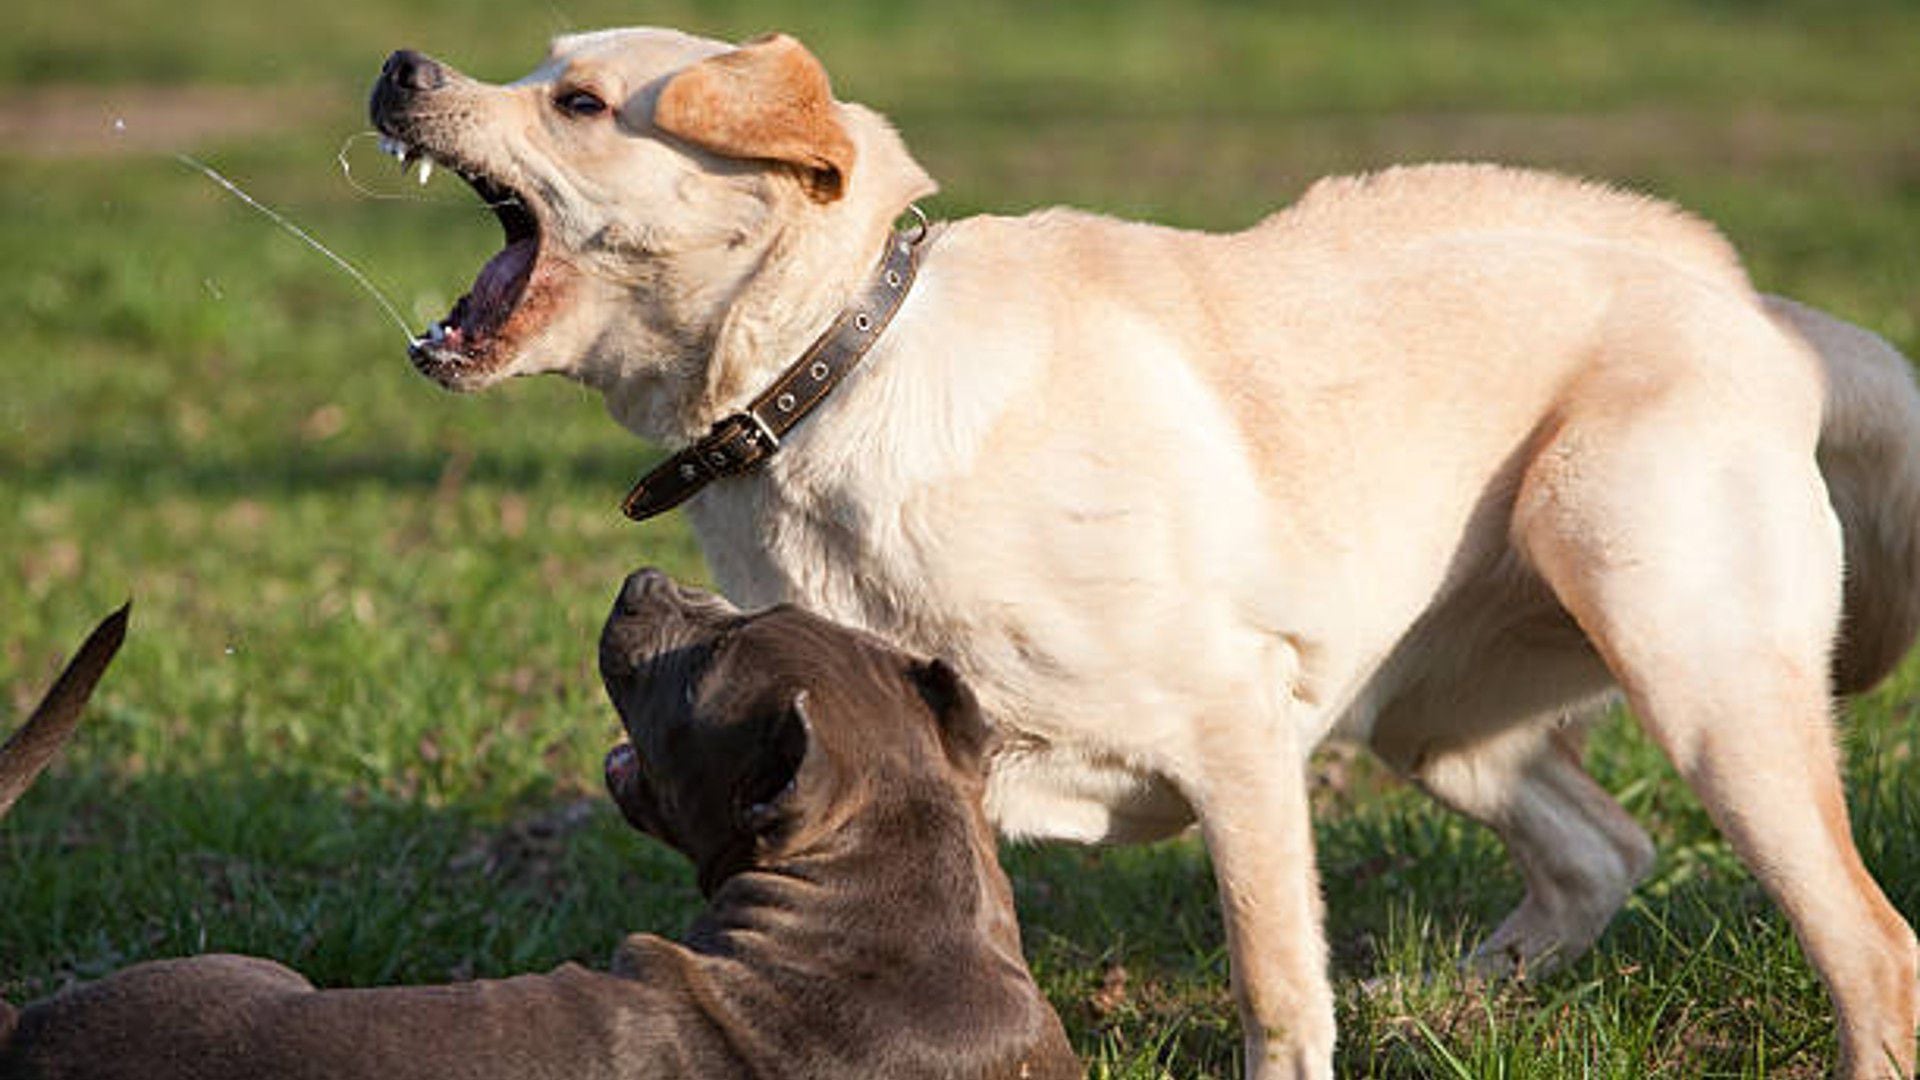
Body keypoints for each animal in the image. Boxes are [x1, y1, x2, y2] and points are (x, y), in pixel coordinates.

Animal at [374, 29, 1920, 1068]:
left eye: (577, 101)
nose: (397, 65)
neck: (832, 375)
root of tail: (1764, 310)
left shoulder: (1236, 735)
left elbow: (1277, 994)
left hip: (1682, 652)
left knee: (1871, 943)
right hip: (1433, 713)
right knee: (1604, 848)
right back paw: (1447, 1005)